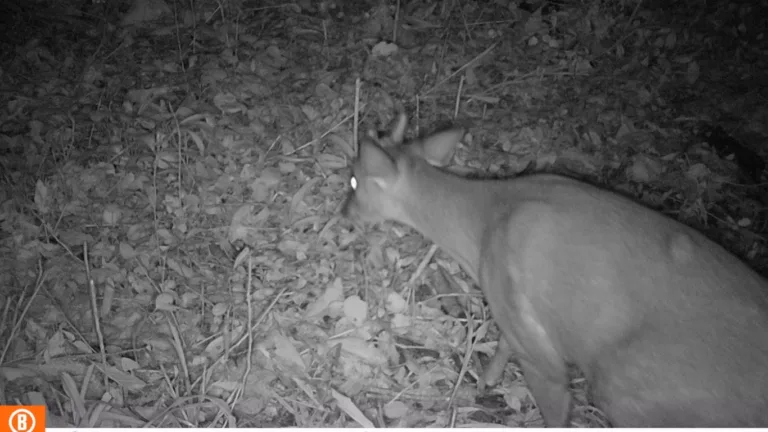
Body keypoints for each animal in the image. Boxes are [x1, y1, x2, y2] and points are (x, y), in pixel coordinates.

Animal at [344, 113, 768, 426]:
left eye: (352, 179)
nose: (343, 212)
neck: (480, 228)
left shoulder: (541, 351)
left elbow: (555, 406)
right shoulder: (517, 315)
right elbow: (504, 340)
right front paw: (488, 379)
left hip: (630, 386)